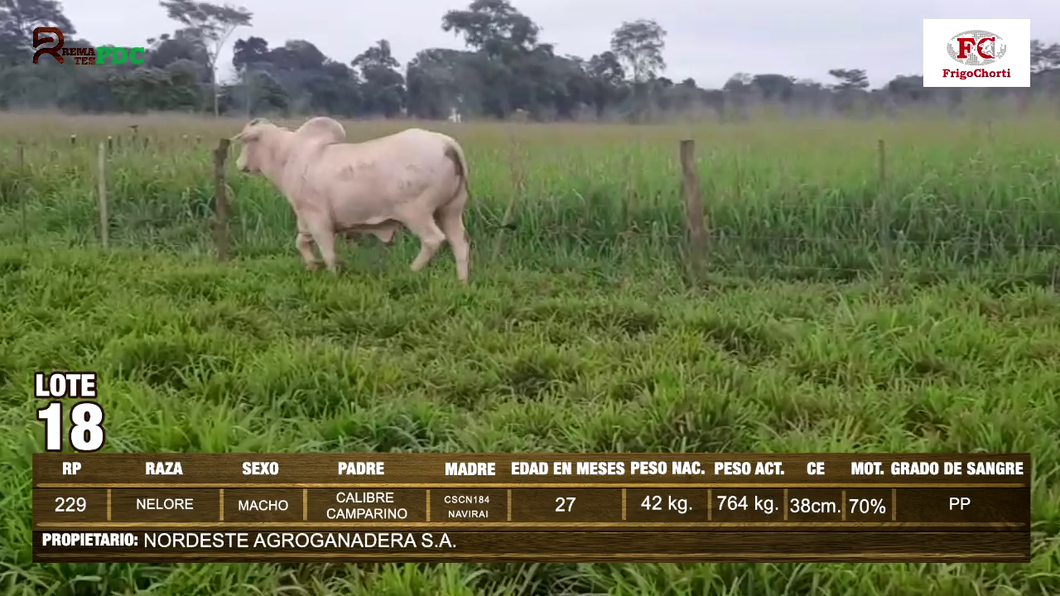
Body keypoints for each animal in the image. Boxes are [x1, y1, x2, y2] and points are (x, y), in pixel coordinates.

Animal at [232, 118, 472, 282]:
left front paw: (332, 275)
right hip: (450, 210)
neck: (288, 156)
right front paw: (312, 265)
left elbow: (328, 252)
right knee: (459, 243)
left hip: (416, 212)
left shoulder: (318, 219)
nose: (238, 164)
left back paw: (410, 271)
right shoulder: (305, 219)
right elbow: (301, 243)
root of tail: (447, 144)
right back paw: (461, 281)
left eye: (247, 143)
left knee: (433, 240)